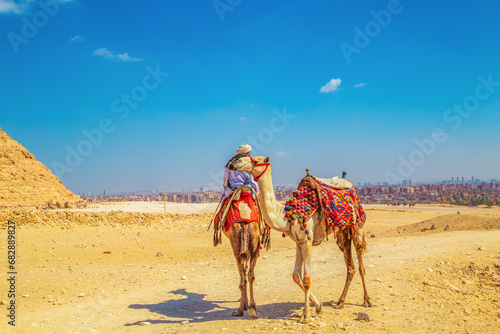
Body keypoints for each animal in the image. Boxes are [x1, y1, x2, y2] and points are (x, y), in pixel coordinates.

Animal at [230, 155, 372, 322]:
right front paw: (318, 306)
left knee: (361, 264)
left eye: (256, 160)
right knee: (350, 267)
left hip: (358, 225)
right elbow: (295, 276)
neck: (285, 215)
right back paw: (340, 302)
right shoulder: (298, 242)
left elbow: (306, 278)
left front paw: (306, 315)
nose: (237, 162)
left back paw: (367, 300)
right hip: (343, 233)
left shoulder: (307, 241)